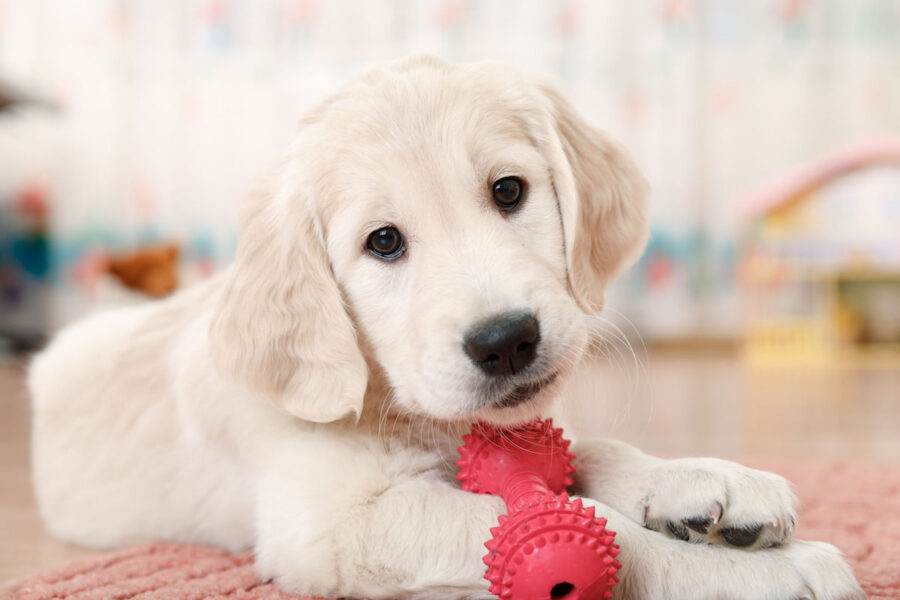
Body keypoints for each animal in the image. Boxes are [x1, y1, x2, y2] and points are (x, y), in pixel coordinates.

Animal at [29, 56, 864, 600]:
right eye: (383, 242)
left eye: (509, 191)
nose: (507, 340)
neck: (396, 401)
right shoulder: (331, 525)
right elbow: (591, 528)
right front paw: (765, 572)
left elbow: (591, 452)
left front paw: (704, 481)